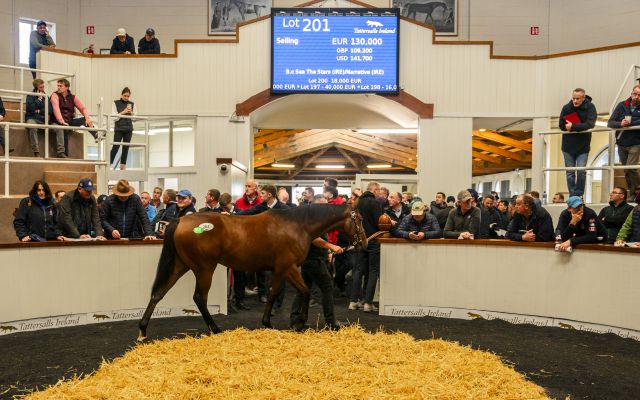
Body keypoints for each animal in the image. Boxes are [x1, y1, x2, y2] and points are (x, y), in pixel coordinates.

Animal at [138, 205, 368, 340]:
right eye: (359, 219)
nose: (363, 243)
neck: (297, 225)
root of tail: (180, 221)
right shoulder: (287, 267)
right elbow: (297, 291)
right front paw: (295, 322)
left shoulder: (281, 270)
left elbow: (280, 292)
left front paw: (276, 322)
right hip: (204, 269)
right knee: (199, 298)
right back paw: (216, 328)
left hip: (180, 266)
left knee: (158, 293)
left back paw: (142, 331)